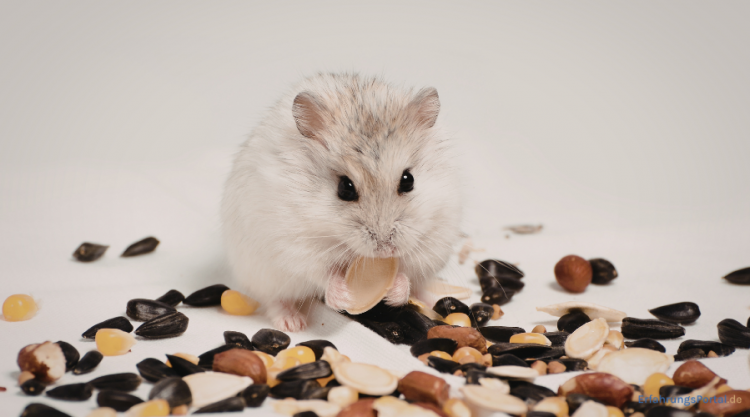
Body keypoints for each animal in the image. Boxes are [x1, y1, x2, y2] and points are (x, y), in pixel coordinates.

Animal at [221, 72, 462, 332]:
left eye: (408, 180)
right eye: (345, 188)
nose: (385, 250)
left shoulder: (434, 238)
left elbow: (408, 273)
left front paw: (393, 292)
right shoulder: (295, 246)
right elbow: (322, 274)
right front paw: (346, 297)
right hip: (262, 274)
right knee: (274, 300)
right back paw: (293, 323)